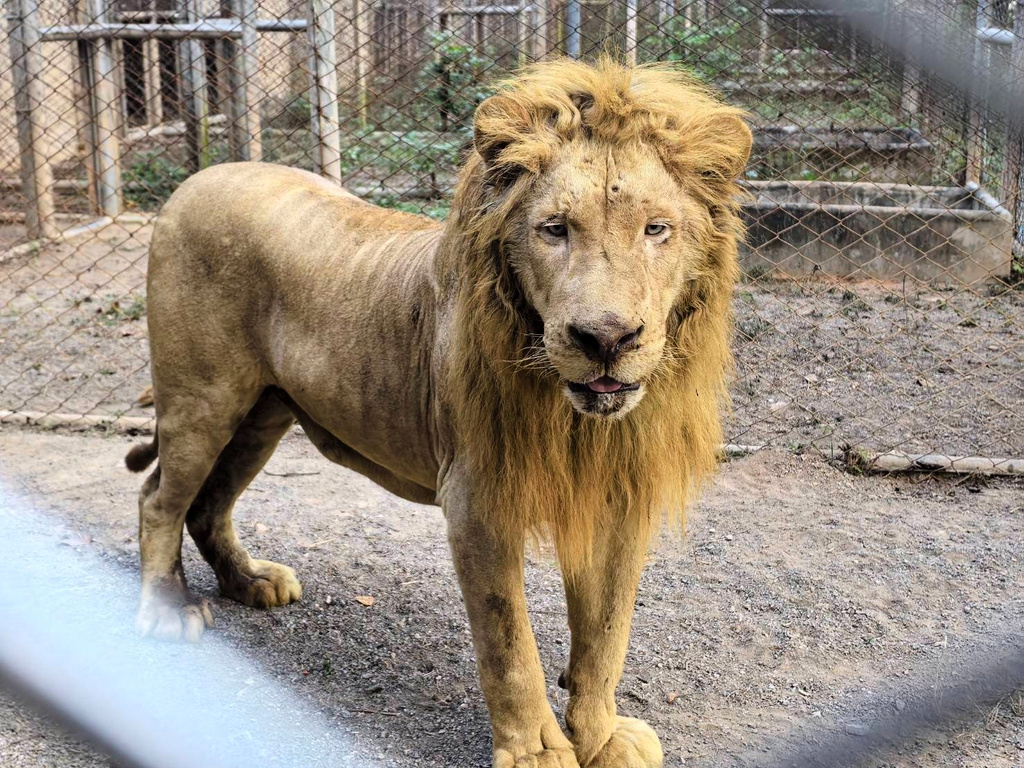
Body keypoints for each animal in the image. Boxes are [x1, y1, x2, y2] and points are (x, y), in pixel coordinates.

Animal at [124, 57, 751, 768]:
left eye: (656, 229)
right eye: (555, 229)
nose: (606, 337)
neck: (576, 421)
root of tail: (196, 179)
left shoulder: (618, 497)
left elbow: (606, 635)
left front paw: (601, 737)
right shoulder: (477, 499)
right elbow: (510, 644)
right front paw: (537, 752)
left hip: (263, 414)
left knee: (209, 503)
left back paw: (251, 581)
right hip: (201, 398)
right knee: (159, 499)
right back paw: (169, 610)